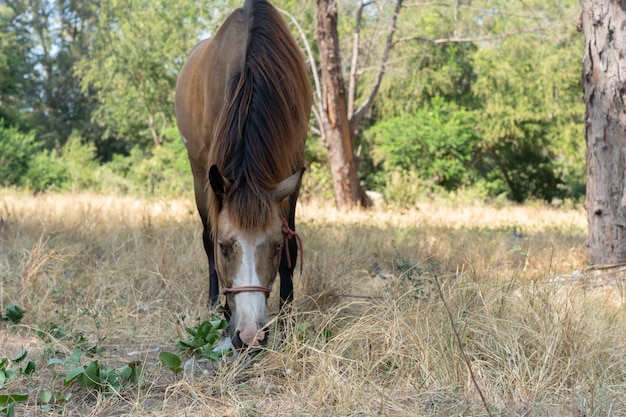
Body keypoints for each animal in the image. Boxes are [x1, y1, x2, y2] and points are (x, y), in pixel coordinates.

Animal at [174, 0, 310, 346]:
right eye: (226, 247)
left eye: (275, 247)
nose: (250, 335)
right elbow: (210, 240)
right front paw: (223, 310)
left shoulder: (291, 171)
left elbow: (292, 245)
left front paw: (287, 317)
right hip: (199, 175)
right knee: (204, 235)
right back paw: (215, 305)